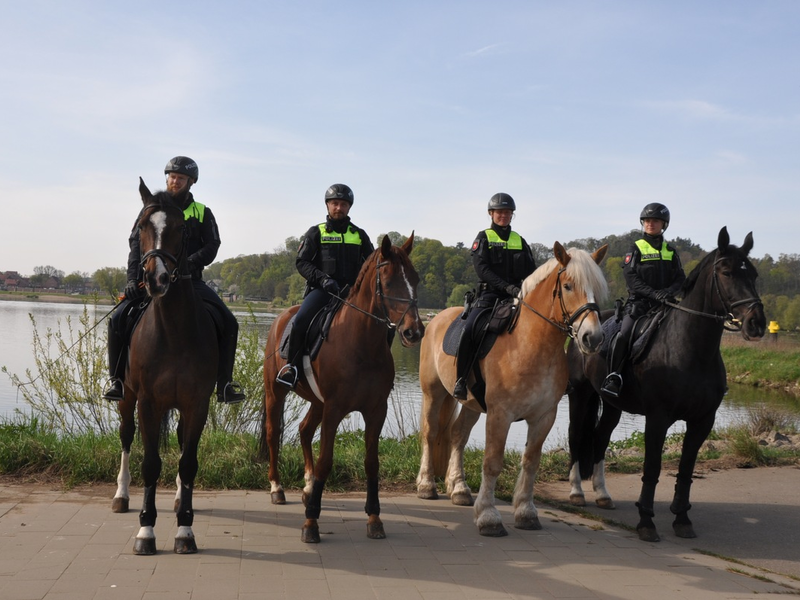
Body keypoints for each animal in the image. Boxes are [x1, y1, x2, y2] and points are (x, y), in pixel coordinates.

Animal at [111, 178, 218, 555]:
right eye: (141, 227)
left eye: (181, 228)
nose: (155, 279)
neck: (173, 330)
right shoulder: (147, 402)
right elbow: (150, 463)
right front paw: (146, 530)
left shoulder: (197, 403)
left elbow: (188, 462)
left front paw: (185, 529)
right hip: (127, 398)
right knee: (127, 438)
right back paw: (121, 495)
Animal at [261, 233, 425, 543]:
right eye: (388, 282)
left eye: (416, 279)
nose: (414, 331)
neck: (361, 344)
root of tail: (282, 316)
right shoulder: (335, 409)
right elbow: (326, 460)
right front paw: (311, 523)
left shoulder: (375, 410)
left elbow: (372, 462)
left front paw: (374, 518)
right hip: (276, 393)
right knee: (274, 433)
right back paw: (277, 488)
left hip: (317, 402)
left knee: (304, 430)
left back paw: (308, 486)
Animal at [416, 242, 609, 537]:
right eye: (567, 286)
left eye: (597, 288)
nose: (593, 338)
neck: (530, 344)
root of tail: (437, 319)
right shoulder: (500, 415)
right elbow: (493, 461)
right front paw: (488, 516)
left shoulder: (544, 417)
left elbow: (530, 462)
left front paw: (526, 512)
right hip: (433, 393)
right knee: (431, 432)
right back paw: (427, 485)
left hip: (471, 404)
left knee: (457, 435)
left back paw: (459, 488)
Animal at [566, 227, 766, 542]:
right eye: (726, 272)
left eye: (754, 274)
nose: (757, 324)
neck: (690, 349)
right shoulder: (658, 419)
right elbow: (652, 467)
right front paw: (646, 522)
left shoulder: (702, 421)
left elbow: (685, 469)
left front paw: (682, 519)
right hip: (580, 394)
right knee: (576, 436)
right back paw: (576, 492)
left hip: (612, 404)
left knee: (600, 438)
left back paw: (602, 495)